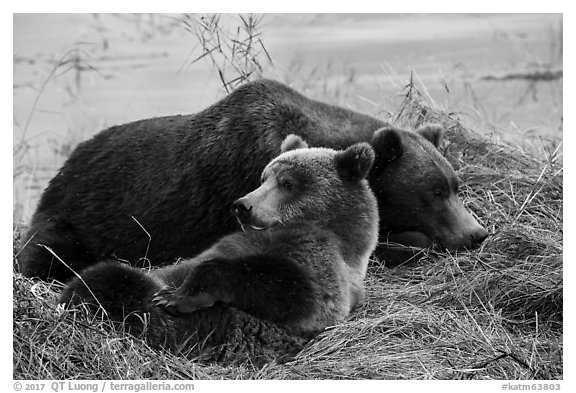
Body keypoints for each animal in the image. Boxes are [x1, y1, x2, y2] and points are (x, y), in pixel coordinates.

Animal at [20, 79, 486, 282]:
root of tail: (65, 165)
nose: (477, 233)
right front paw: (412, 242)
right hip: (76, 218)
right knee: (47, 252)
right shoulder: (247, 184)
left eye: (455, 185)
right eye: (435, 192)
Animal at [60, 136, 380, 356]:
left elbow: (292, 289)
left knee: (117, 283)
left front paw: (175, 297)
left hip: (204, 328)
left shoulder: (321, 262)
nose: (243, 205)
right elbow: (197, 261)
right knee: (103, 274)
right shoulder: (232, 242)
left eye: (288, 183)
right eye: (264, 177)